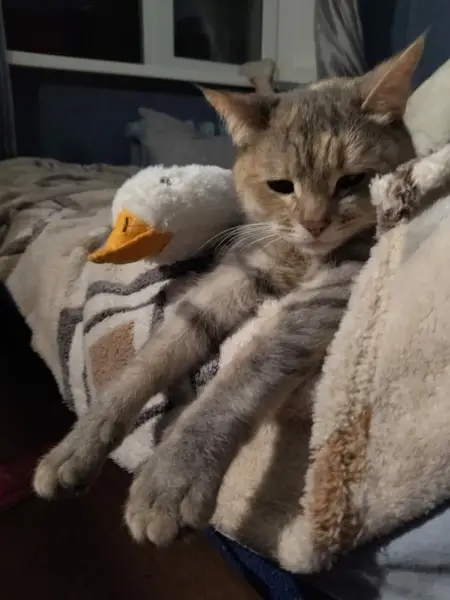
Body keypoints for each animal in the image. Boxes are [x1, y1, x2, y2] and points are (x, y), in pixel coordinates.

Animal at [33, 37, 423, 547]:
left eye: (352, 180)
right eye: (281, 185)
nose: (315, 223)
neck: (300, 257)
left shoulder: (325, 293)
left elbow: (237, 382)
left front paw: (172, 480)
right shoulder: (231, 278)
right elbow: (148, 362)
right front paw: (76, 447)